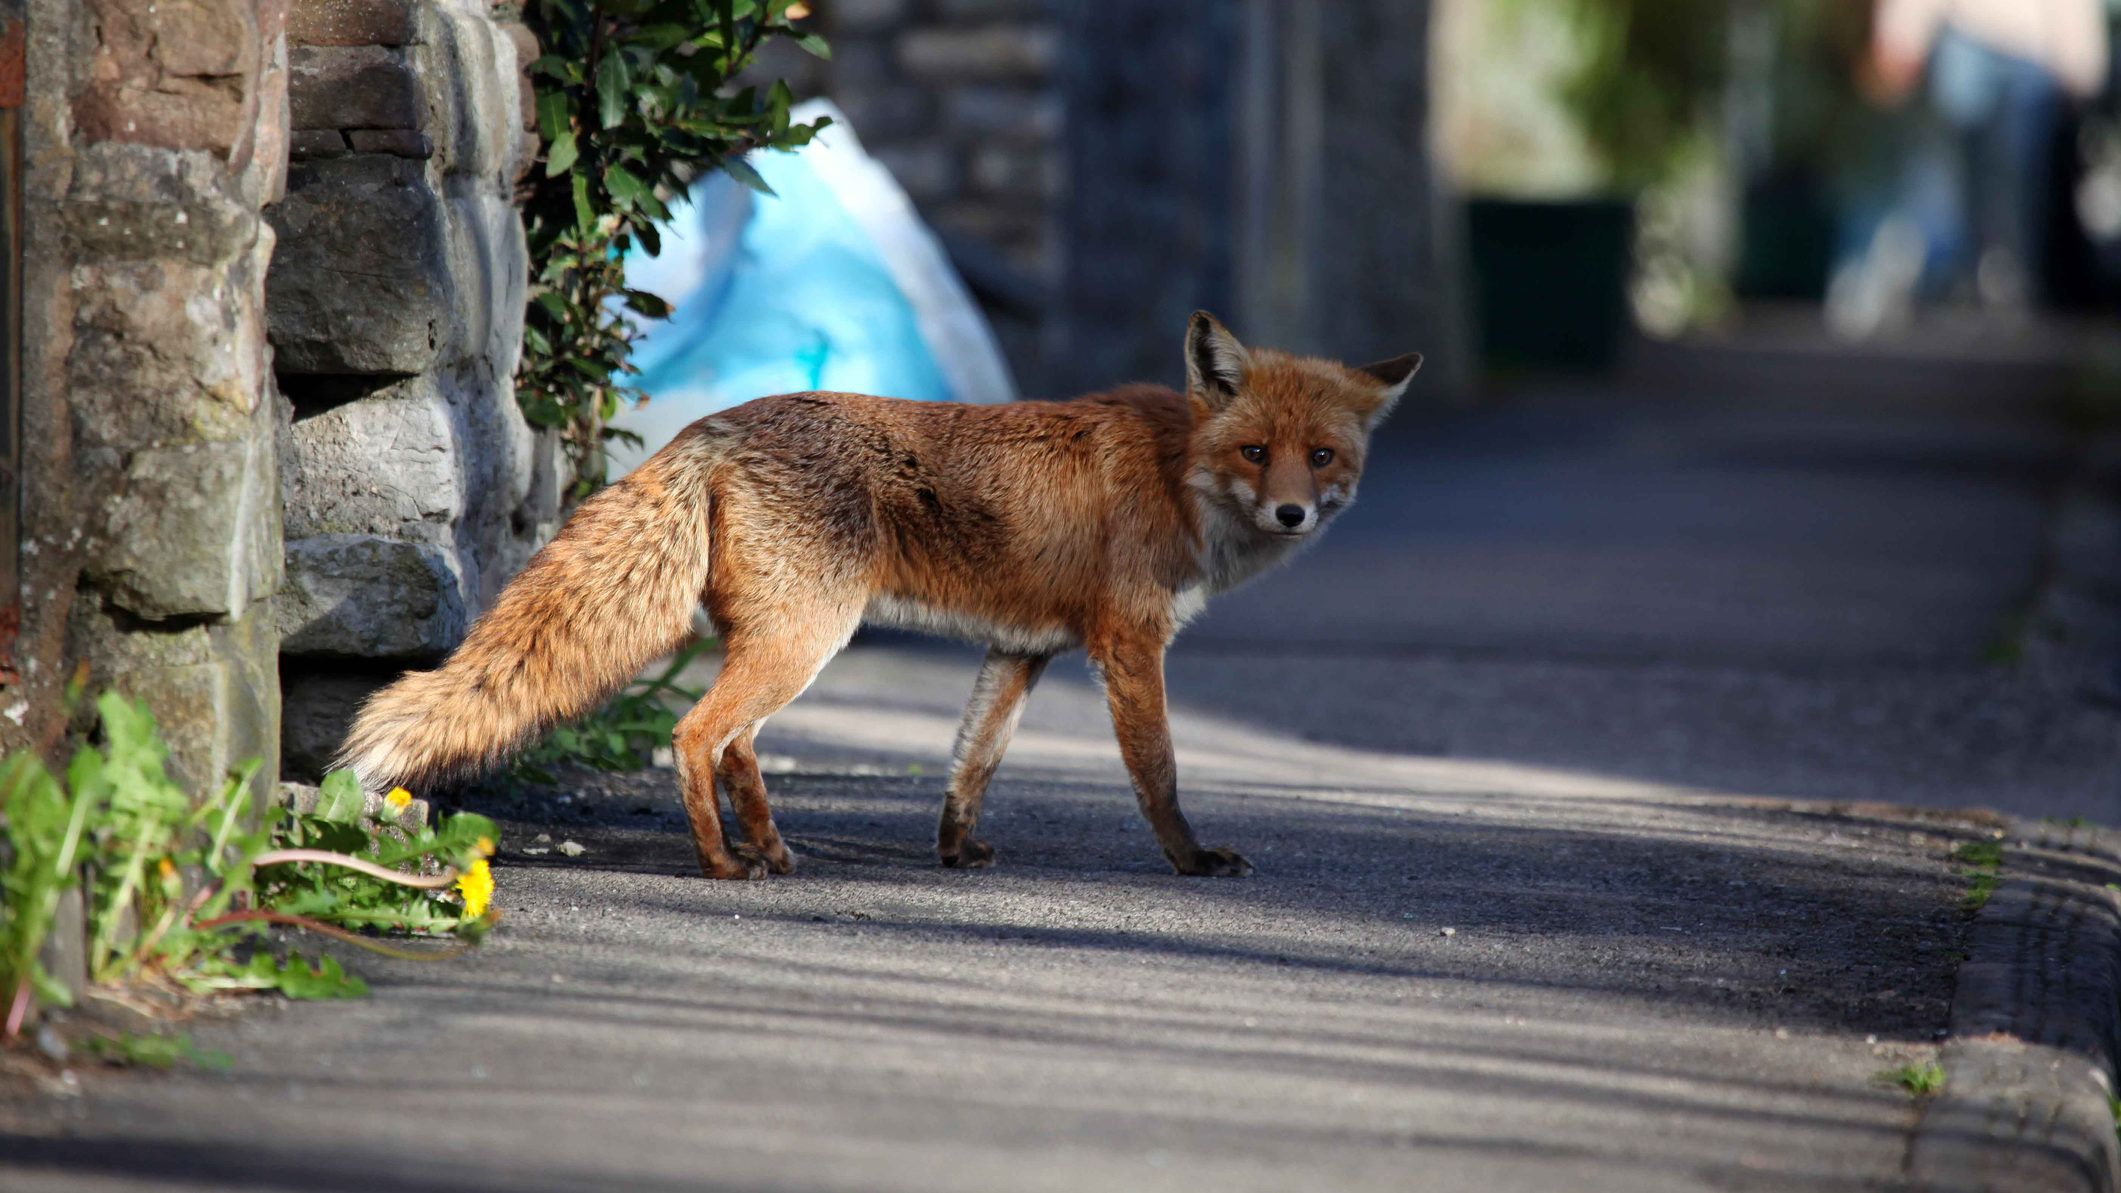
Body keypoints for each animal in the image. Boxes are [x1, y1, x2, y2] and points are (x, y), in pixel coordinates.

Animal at [339, 312, 1416, 878]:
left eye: (1321, 456)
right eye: (1256, 452)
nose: (1292, 512)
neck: (1177, 470)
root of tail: (714, 428)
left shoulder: (1023, 647)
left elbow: (972, 760)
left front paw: (954, 850)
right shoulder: (1127, 643)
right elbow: (1158, 772)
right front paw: (1191, 860)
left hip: (790, 643)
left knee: (737, 745)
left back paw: (773, 850)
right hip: (806, 639)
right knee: (697, 735)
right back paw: (724, 863)